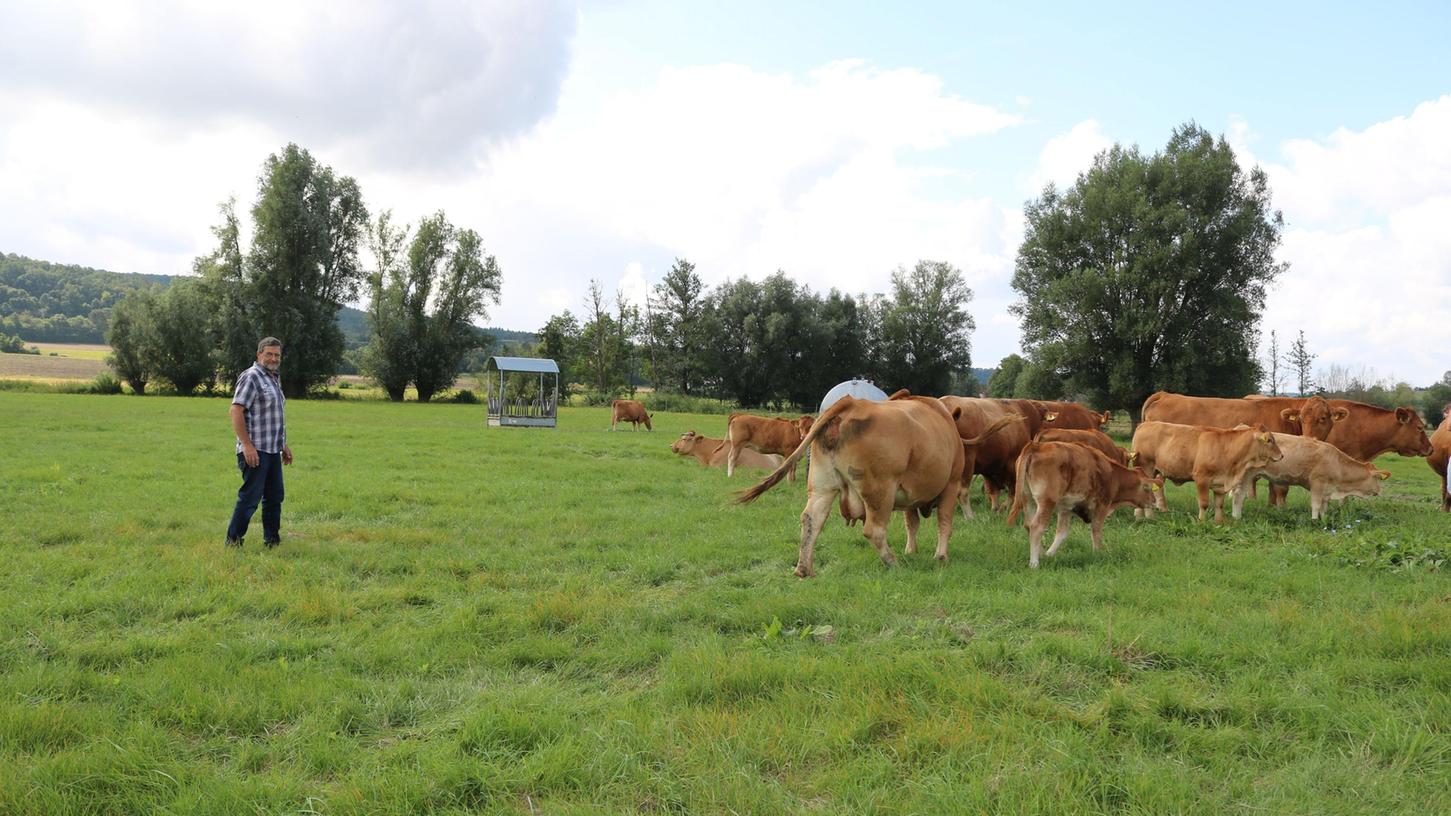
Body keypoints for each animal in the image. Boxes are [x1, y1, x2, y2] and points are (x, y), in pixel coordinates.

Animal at [742, 392, 969, 574]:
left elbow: (911, 523)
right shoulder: (951, 484)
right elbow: (944, 522)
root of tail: (852, 403)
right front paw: (940, 556)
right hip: (880, 492)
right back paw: (893, 562)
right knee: (874, 530)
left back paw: (804, 569)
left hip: (822, 485)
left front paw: (911, 551)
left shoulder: (910, 495)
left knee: (811, 519)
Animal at [1004, 438, 1160, 566]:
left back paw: (1040, 554)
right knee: (1037, 526)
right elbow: (1096, 531)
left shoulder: (1066, 507)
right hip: (1046, 502)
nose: (1154, 501)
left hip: (1028, 499)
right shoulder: (1101, 506)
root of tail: (1036, 446)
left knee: (1028, 525)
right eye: (1147, 488)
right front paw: (1097, 554)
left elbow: (1062, 533)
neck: (1111, 474)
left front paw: (1049, 554)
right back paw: (1034, 563)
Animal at [1131, 418, 1282, 519]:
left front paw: (1219, 522)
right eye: (1269, 440)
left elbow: (1219, 504)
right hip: (1146, 467)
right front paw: (1202, 521)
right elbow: (1204, 503)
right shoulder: (1201, 479)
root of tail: (1145, 424)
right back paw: (1140, 516)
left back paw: (1147, 516)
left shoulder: (1220, 483)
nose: (1281, 455)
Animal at [1236, 432, 1392, 519]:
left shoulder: (1326, 490)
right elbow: (1316, 505)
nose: (1379, 491)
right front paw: (1315, 521)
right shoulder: (1317, 484)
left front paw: (1324, 520)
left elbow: (1323, 507)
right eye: (1378, 479)